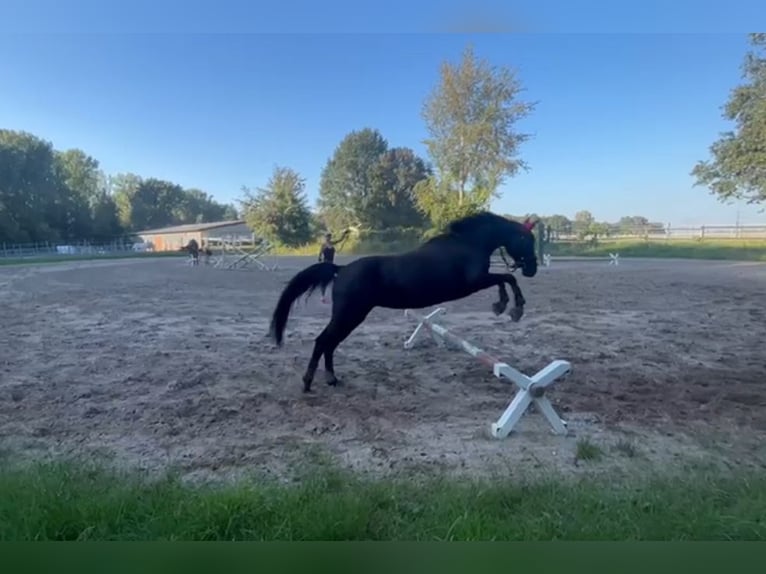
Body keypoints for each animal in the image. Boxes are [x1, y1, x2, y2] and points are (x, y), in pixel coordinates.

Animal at [270, 213, 540, 396]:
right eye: (526, 239)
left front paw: (503, 306)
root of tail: (341, 269)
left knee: (330, 343)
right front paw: (513, 308)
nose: (532, 269)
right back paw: (308, 382)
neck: (468, 244)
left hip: (350, 317)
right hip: (350, 315)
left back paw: (331, 379)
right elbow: (506, 278)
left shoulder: (478, 282)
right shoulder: (474, 282)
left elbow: (504, 279)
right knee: (323, 341)